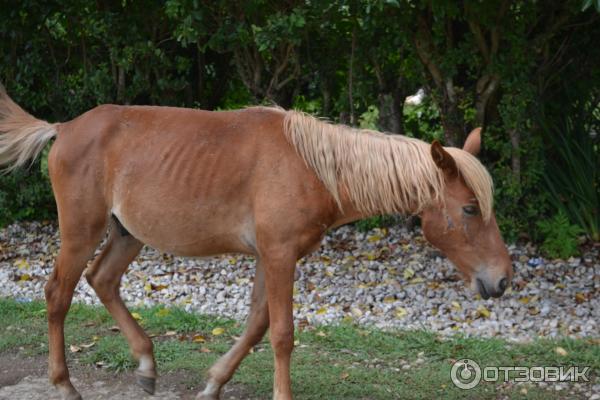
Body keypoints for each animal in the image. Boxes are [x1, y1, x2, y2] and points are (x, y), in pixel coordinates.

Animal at [0, 84, 512, 400]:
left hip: (126, 235)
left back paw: (146, 365)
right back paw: (64, 384)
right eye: (470, 209)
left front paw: (213, 383)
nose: (503, 281)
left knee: (102, 280)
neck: (314, 167)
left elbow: (256, 325)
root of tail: (65, 128)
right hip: (81, 232)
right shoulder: (280, 255)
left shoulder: (272, 257)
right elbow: (283, 333)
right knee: (58, 294)